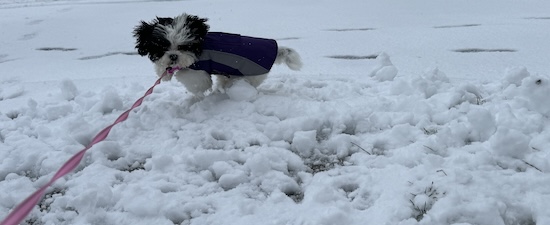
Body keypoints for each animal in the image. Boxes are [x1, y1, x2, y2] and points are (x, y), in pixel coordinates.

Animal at [135, 13, 304, 96]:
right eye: (162, 48)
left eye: (184, 47)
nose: (173, 56)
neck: (201, 46)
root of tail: (276, 50)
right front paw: (164, 71)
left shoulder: (198, 71)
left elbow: (197, 80)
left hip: (250, 75)